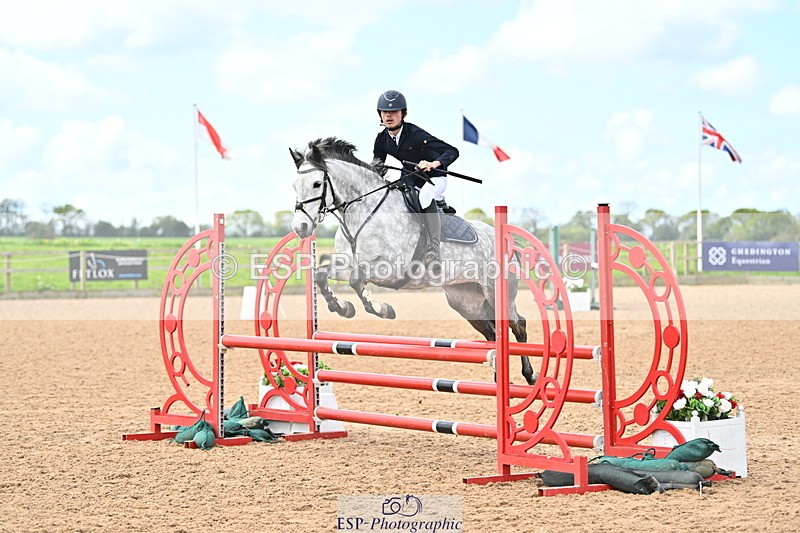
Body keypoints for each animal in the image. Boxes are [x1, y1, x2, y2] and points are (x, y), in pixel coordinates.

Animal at [289, 137, 536, 386]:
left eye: (317, 184)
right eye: (294, 186)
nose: (300, 227)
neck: (364, 212)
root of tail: (503, 240)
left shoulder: (388, 267)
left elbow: (357, 282)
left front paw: (382, 309)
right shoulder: (347, 264)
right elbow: (321, 274)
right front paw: (342, 307)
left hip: (497, 293)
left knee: (518, 325)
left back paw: (530, 375)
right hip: (466, 301)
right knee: (492, 333)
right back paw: (498, 377)